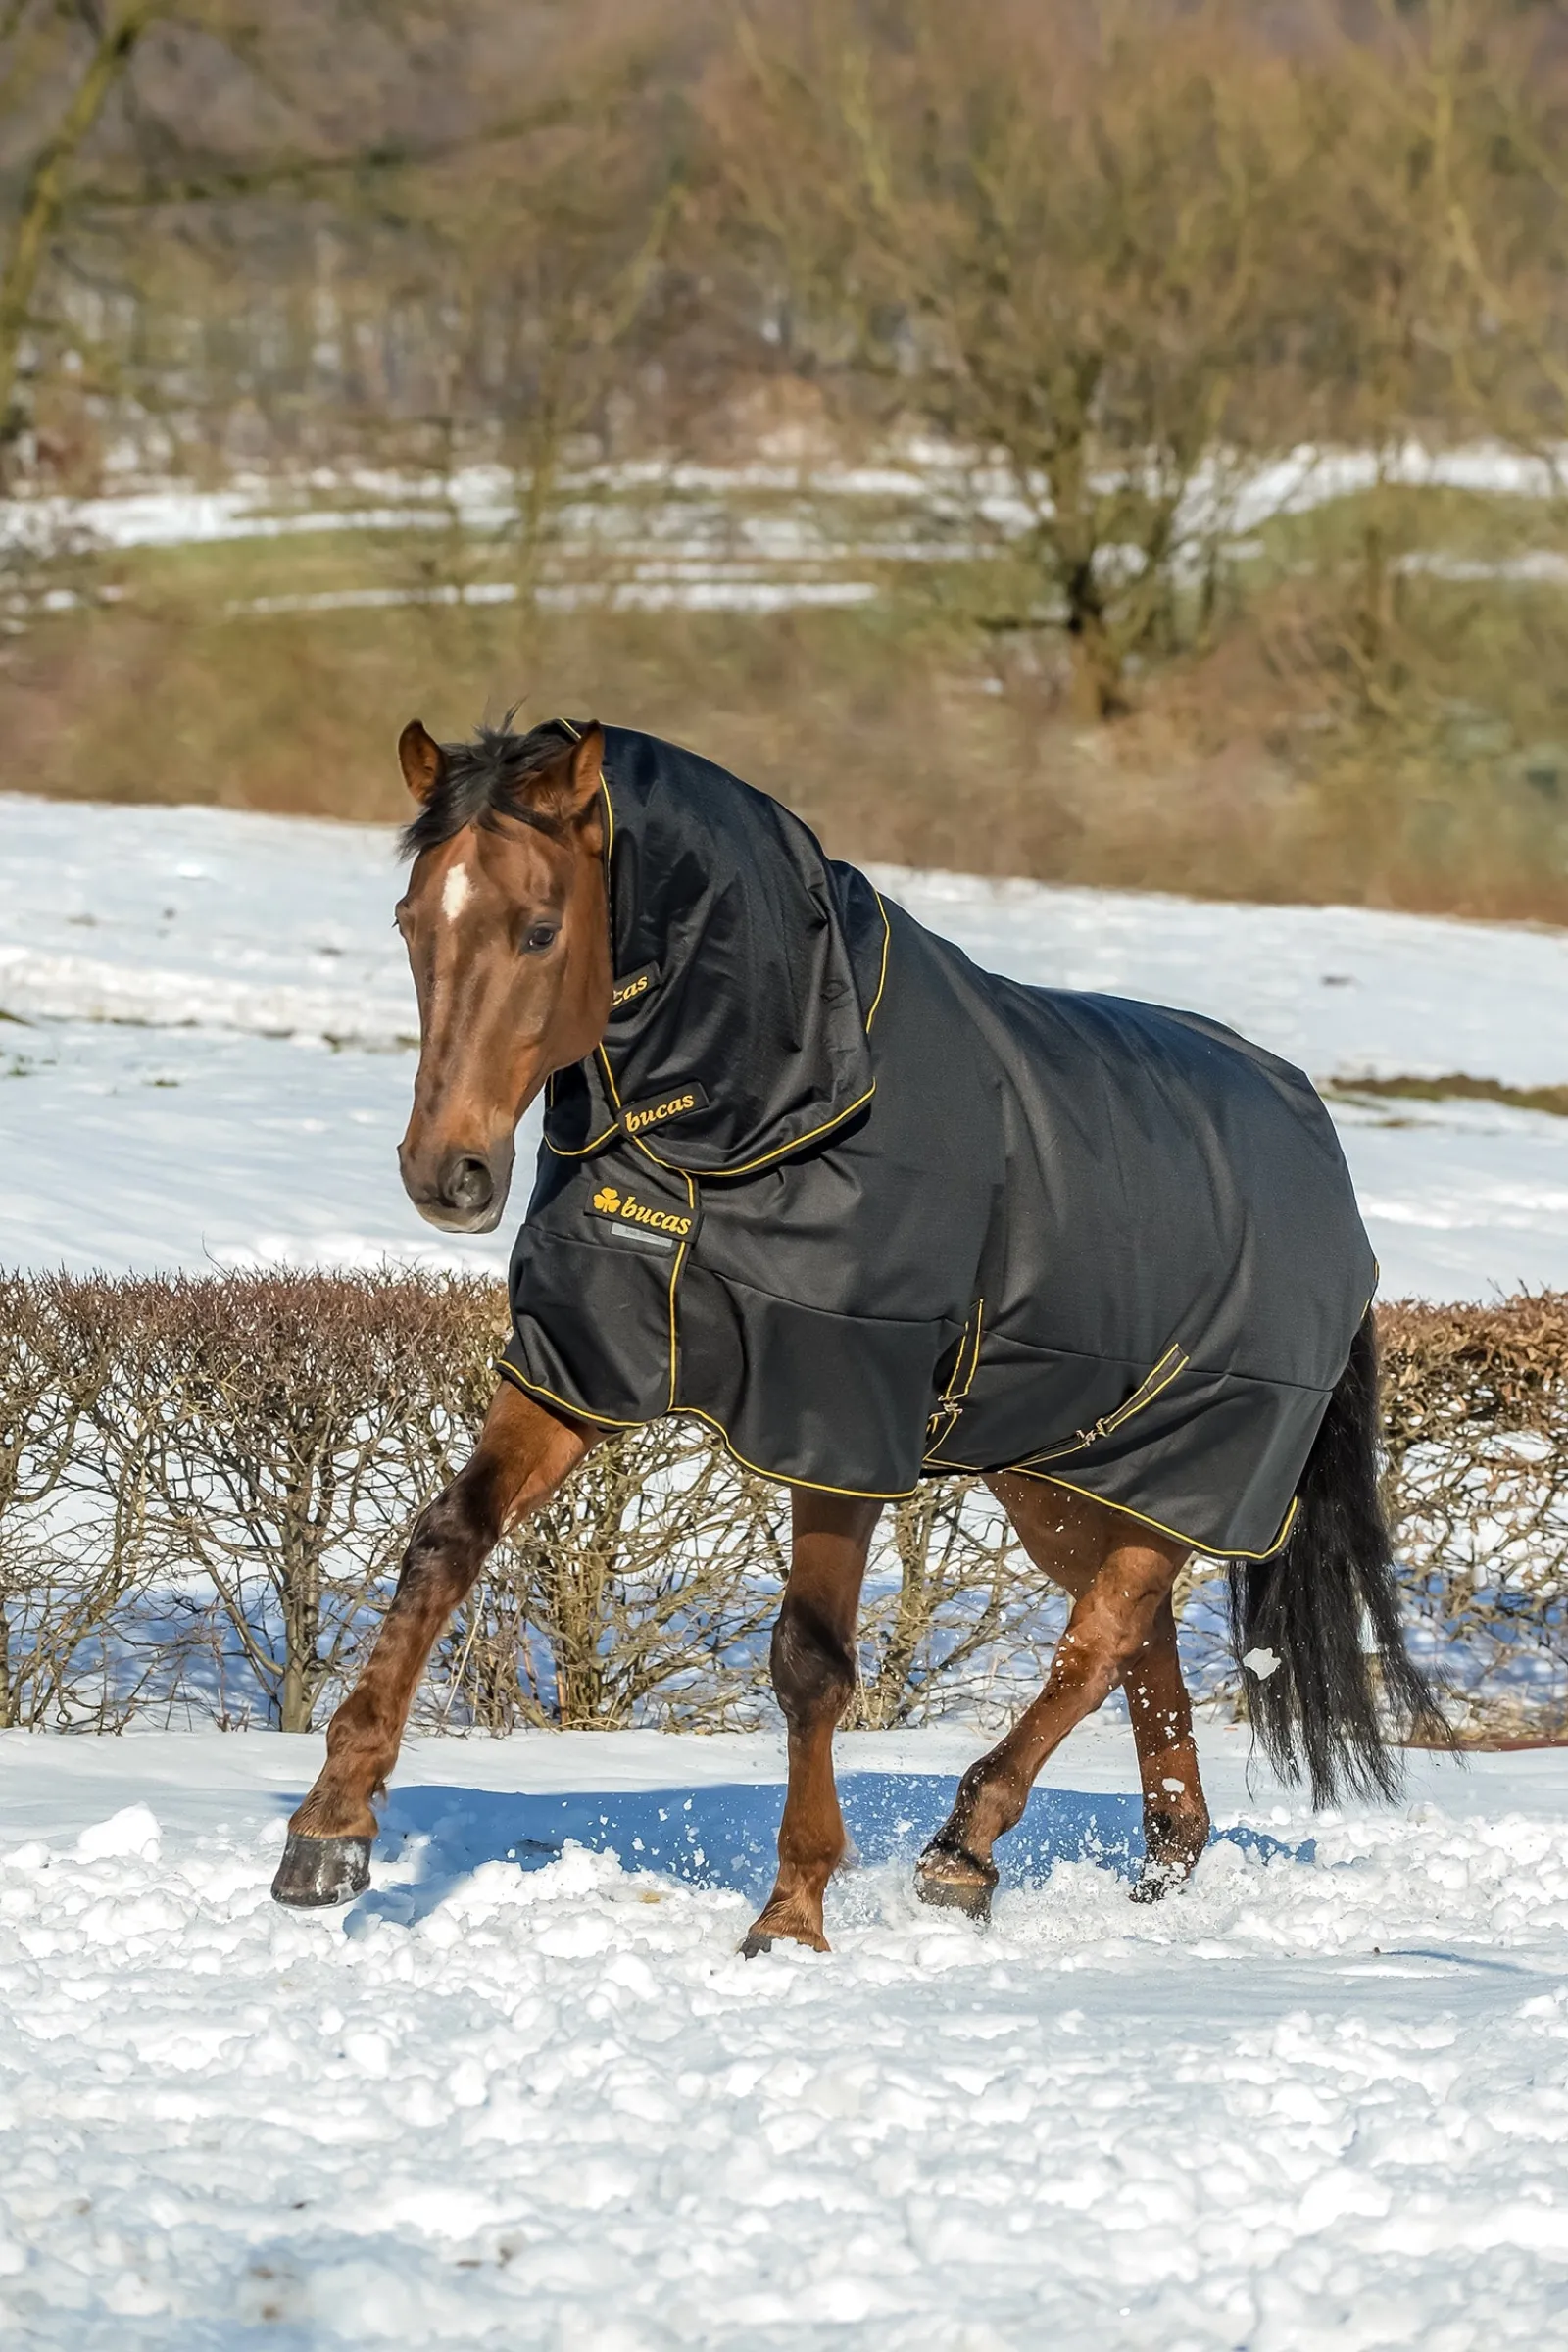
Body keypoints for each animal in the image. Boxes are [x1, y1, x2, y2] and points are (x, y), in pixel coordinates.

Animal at [271, 716, 1442, 1952]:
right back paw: (1151, 1852)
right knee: (1135, 1638)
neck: (749, 1115)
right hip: (1063, 1476)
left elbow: (810, 1662)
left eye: (539, 928)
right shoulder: (580, 1365)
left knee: (1100, 1637)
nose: (446, 1175)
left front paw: (790, 1917)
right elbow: (447, 1538)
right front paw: (329, 1833)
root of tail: (1327, 1168)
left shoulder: (835, 1414)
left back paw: (963, 1848)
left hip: (1198, 1463)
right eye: (411, 921)